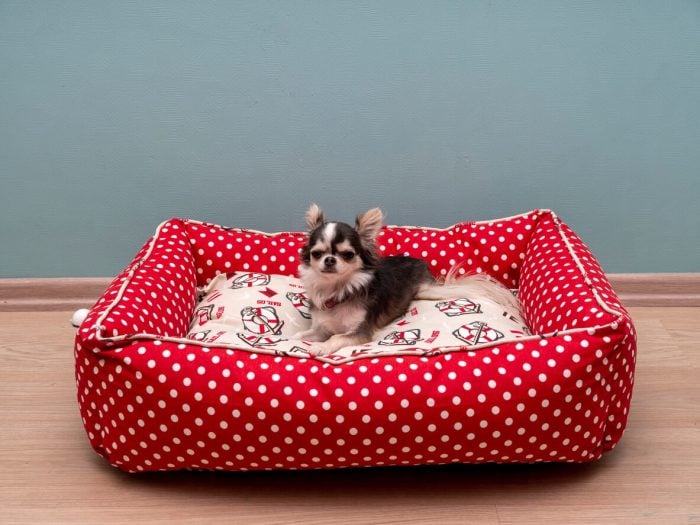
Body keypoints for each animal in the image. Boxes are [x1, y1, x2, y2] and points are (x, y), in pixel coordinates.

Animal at [292, 203, 520, 354]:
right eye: (317, 254)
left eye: (348, 254)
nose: (329, 260)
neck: (337, 289)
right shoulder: (320, 329)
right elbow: (300, 336)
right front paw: (291, 338)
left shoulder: (359, 332)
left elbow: (337, 336)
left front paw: (321, 348)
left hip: (427, 291)